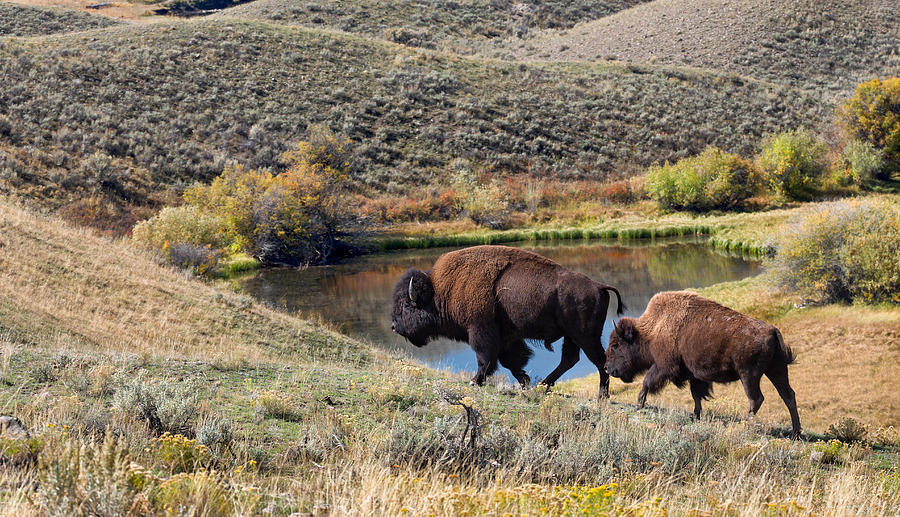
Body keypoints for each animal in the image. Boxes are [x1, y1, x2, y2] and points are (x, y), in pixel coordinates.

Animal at [604, 288, 800, 438]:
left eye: (616, 345)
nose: (606, 368)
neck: (653, 329)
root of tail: (772, 330)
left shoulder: (664, 366)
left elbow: (647, 382)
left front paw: (639, 403)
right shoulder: (694, 376)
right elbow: (696, 395)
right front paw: (695, 416)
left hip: (749, 375)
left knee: (756, 398)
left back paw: (744, 423)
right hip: (776, 370)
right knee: (788, 395)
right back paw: (796, 433)